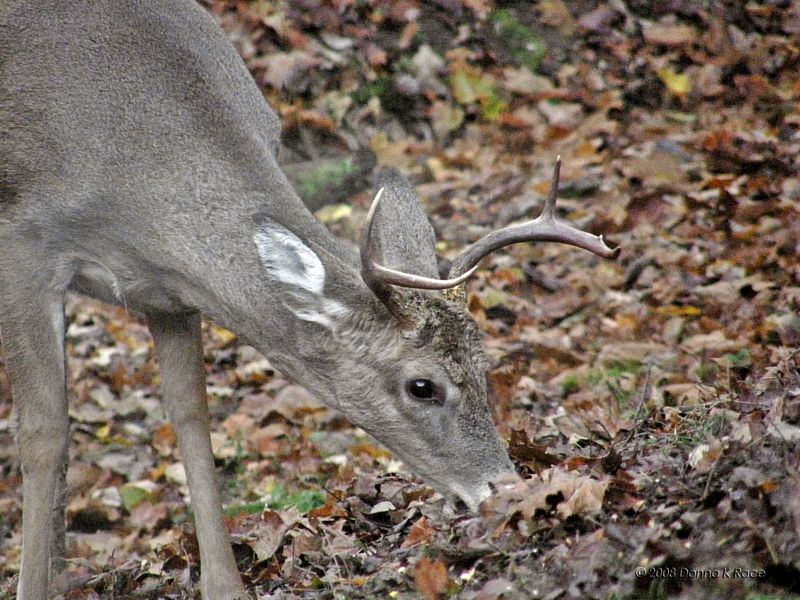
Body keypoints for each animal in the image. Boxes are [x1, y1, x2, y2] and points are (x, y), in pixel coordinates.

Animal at [0, 1, 620, 600]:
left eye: (484, 365)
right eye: (422, 386)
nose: (505, 487)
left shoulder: (166, 294)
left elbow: (190, 416)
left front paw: (224, 587)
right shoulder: (24, 248)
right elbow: (44, 432)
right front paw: (33, 586)